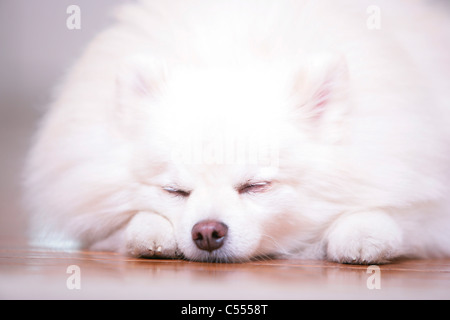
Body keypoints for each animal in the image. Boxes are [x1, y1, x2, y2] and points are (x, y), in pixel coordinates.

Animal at [25, 1, 450, 264]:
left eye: (256, 186)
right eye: (175, 191)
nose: (206, 231)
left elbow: (390, 214)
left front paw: (363, 236)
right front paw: (151, 232)